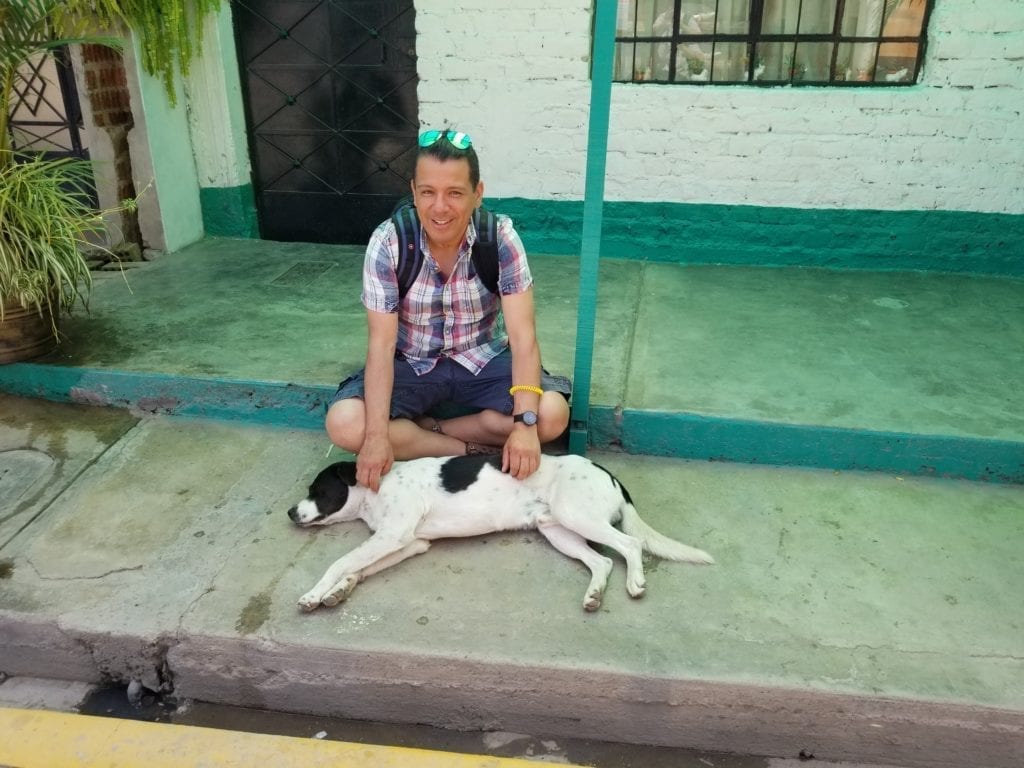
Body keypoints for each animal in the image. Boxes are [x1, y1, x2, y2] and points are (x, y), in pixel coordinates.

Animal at [288, 456, 712, 614]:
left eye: (317, 490)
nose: (290, 512)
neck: (375, 489)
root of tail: (605, 470)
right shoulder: (409, 543)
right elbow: (356, 568)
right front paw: (339, 591)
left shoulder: (392, 536)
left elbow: (340, 561)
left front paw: (313, 593)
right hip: (559, 531)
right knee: (602, 561)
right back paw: (593, 595)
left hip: (576, 515)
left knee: (630, 543)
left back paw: (636, 582)